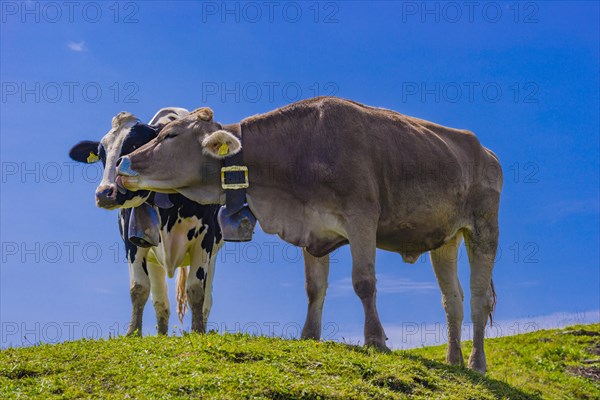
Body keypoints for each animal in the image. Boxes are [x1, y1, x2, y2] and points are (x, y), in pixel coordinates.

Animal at [68, 108, 223, 336]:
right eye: (102, 154)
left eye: (134, 145)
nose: (104, 194)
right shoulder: (132, 241)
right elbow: (139, 288)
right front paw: (133, 333)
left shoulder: (205, 237)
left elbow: (196, 290)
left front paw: (198, 332)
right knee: (160, 302)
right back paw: (161, 335)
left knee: (206, 299)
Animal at [117, 97, 502, 376]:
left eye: (169, 136)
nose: (123, 164)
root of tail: (485, 150)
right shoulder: (311, 229)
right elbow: (314, 288)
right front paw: (309, 336)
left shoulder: (362, 217)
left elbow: (364, 282)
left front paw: (376, 340)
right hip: (445, 239)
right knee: (452, 300)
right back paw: (453, 361)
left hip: (484, 227)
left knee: (479, 299)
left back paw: (477, 364)